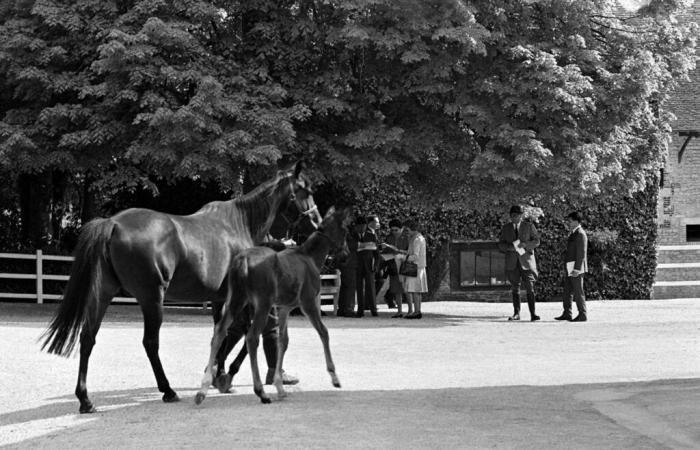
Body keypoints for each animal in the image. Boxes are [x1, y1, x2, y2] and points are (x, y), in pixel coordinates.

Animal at [41, 163, 320, 414]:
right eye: (305, 190)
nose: (317, 222)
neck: (238, 225)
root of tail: (113, 224)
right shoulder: (241, 298)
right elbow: (244, 333)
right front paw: (225, 376)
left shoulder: (220, 298)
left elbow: (222, 333)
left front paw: (217, 374)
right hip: (152, 298)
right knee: (150, 343)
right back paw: (168, 390)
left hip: (104, 293)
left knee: (88, 337)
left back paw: (85, 400)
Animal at [196, 205, 350, 404]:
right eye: (345, 230)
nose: (346, 255)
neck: (309, 256)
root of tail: (243, 261)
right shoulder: (308, 303)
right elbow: (324, 332)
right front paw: (334, 377)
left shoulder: (284, 308)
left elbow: (283, 340)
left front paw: (280, 386)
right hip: (262, 304)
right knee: (252, 337)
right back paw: (260, 391)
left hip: (236, 301)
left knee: (219, 333)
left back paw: (203, 389)